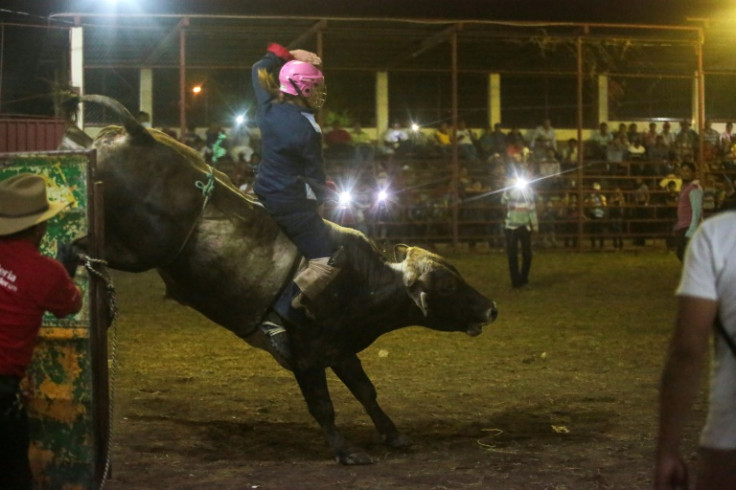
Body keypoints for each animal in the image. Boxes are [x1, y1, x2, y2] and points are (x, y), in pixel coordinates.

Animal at [64, 94, 500, 464]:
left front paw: (394, 435)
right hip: (142, 249)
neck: (365, 283)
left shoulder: (340, 348)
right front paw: (345, 452)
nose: (492, 308)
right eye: (447, 286)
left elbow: (366, 391)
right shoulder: (306, 353)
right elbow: (323, 406)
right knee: (77, 245)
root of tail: (137, 133)